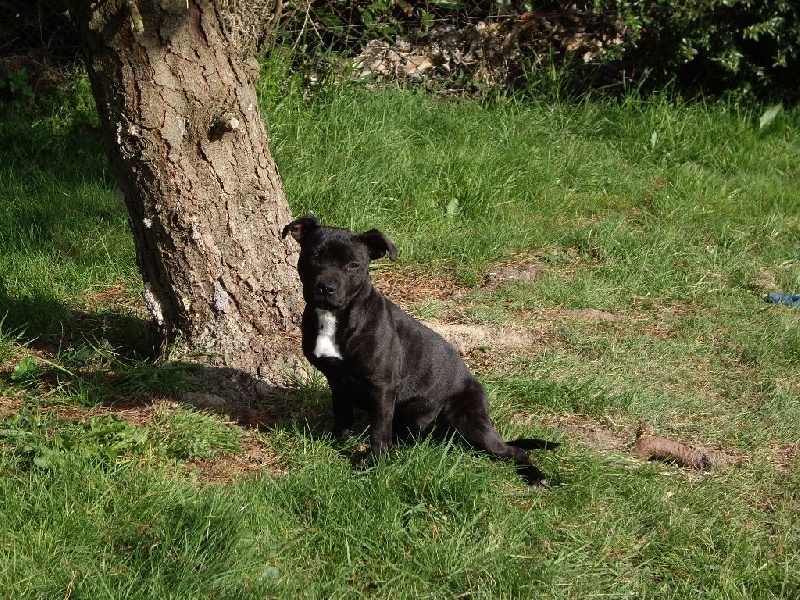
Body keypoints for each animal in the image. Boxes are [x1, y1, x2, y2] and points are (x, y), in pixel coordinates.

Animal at [282, 216, 552, 488]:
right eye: (315, 255)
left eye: (354, 265)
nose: (326, 288)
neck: (336, 318)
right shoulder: (336, 381)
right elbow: (342, 413)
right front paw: (337, 440)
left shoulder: (382, 388)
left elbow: (379, 430)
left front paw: (374, 463)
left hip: (468, 421)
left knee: (513, 450)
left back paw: (536, 476)